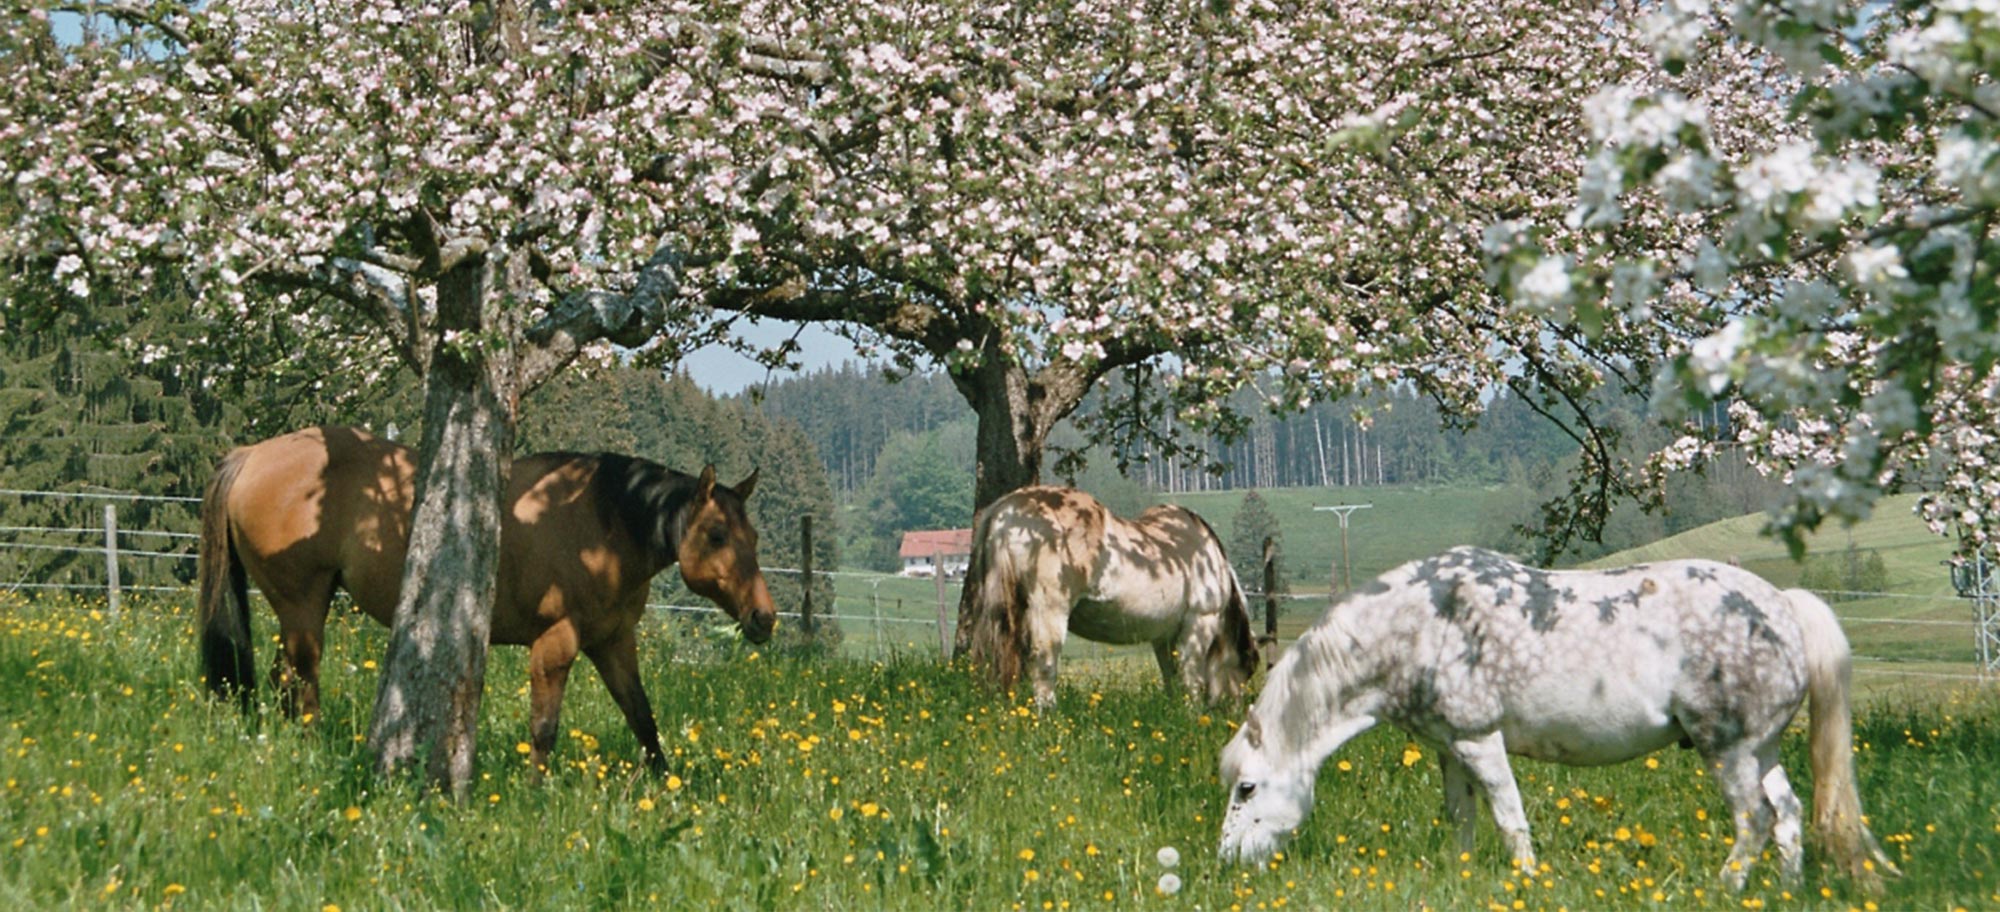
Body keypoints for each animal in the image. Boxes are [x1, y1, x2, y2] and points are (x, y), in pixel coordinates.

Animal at [195, 426, 772, 768]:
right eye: (716, 535)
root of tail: (250, 455)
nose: (763, 618)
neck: (602, 522)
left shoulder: (613, 644)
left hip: (299, 610)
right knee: (303, 686)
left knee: (283, 683)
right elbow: (544, 729)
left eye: (754, 537)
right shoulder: (556, 644)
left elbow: (643, 719)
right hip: (303, 605)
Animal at [960, 488, 1256, 708]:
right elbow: (1190, 677)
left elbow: (1172, 677)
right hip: (1048, 611)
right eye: (1247, 670)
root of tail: (1005, 511)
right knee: (1043, 665)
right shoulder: (1199, 622)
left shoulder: (1163, 639)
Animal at [1216, 548, 1904, 892]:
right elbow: (1462, 818)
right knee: (1788, 814)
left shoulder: (1479, 740)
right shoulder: (1448, 748)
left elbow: (1509, 817)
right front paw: (1461, 878)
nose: (1227, 863)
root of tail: (1782, 605)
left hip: (1728, 750)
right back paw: (1786, 891)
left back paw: (1723, 890)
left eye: (1246, 788)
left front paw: (1527, 880)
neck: (1419, 624)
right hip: (1761, 750)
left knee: (1755, 820)